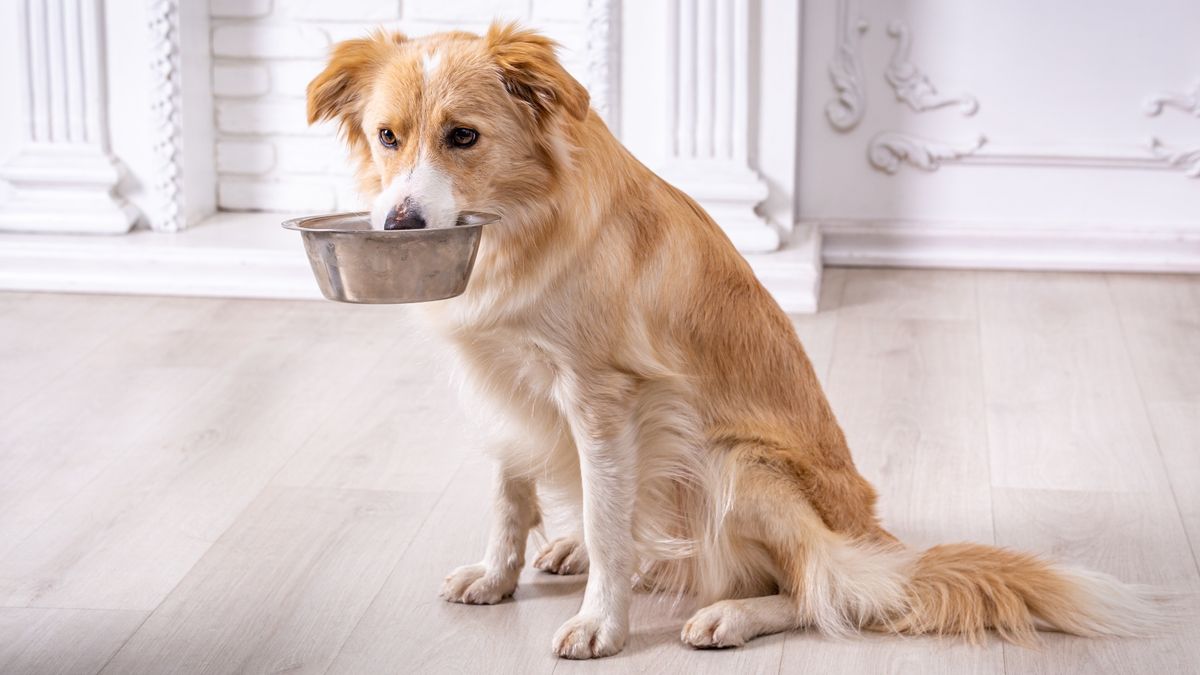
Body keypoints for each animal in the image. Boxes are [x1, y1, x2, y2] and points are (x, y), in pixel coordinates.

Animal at [309, 22, 1161, 658]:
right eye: (388, 137)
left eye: (463, 136)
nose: (400, 223)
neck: (521, 225)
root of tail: (878, 541)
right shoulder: (501, 385)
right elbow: (510, 498)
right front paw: (497, 575)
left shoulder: (603, 398)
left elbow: (610, 526)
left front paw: (601, 623)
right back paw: (582, 552)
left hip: (732, 461)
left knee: (825, 589)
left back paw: (732, 614)